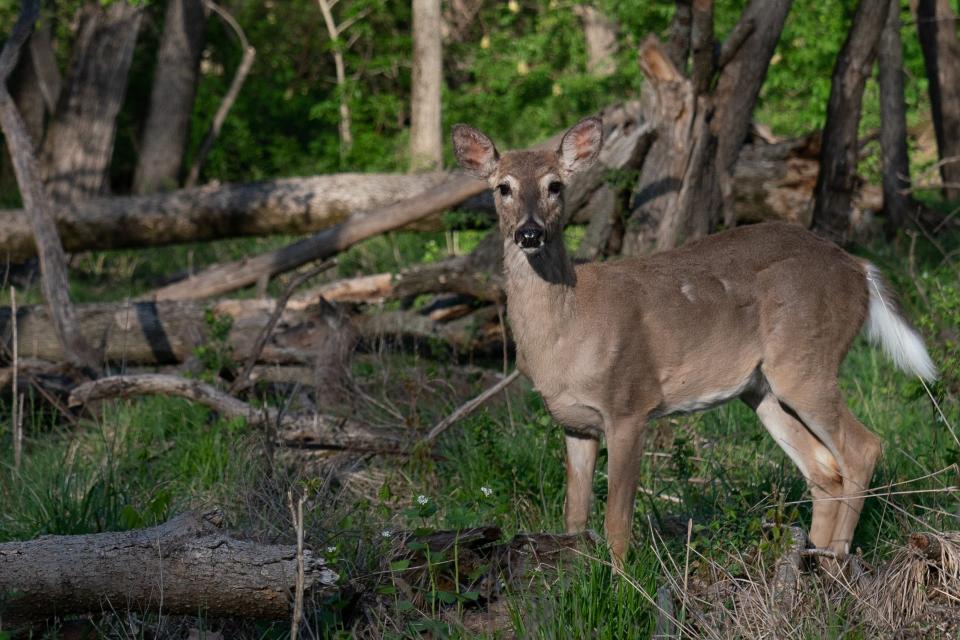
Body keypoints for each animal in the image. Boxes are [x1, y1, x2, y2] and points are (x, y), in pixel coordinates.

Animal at [450, 116, 936, 568]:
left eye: (555, 185)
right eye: (502, 187)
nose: (529, 233)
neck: (567, 330)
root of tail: (860, 270)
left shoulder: (630, 403)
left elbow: (616, 522)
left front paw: (622, 582)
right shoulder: (574, 423)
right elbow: (575, 517)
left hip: (806, 360)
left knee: (862, 448)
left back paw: (836, 559)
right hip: (761, 388)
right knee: (823, 467)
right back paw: (809, 558)